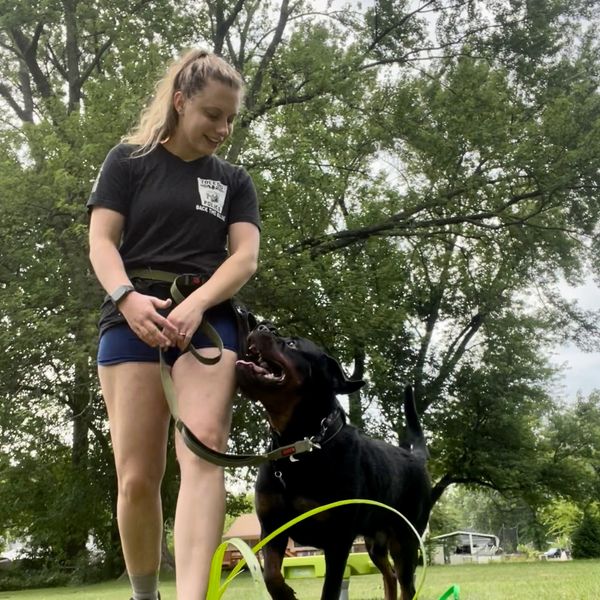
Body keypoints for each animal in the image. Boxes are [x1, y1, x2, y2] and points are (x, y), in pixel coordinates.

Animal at [235, 322, 432, 600]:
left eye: (292, 344)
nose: (262, 325)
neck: (301, 446)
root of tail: (414, 456)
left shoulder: (338, 541)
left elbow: (330, 590)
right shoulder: (272, 527)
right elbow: (271, 575)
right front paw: (286, 594)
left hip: (405, 539)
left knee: (406, 584)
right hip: (374, 541)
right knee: (390, 575)